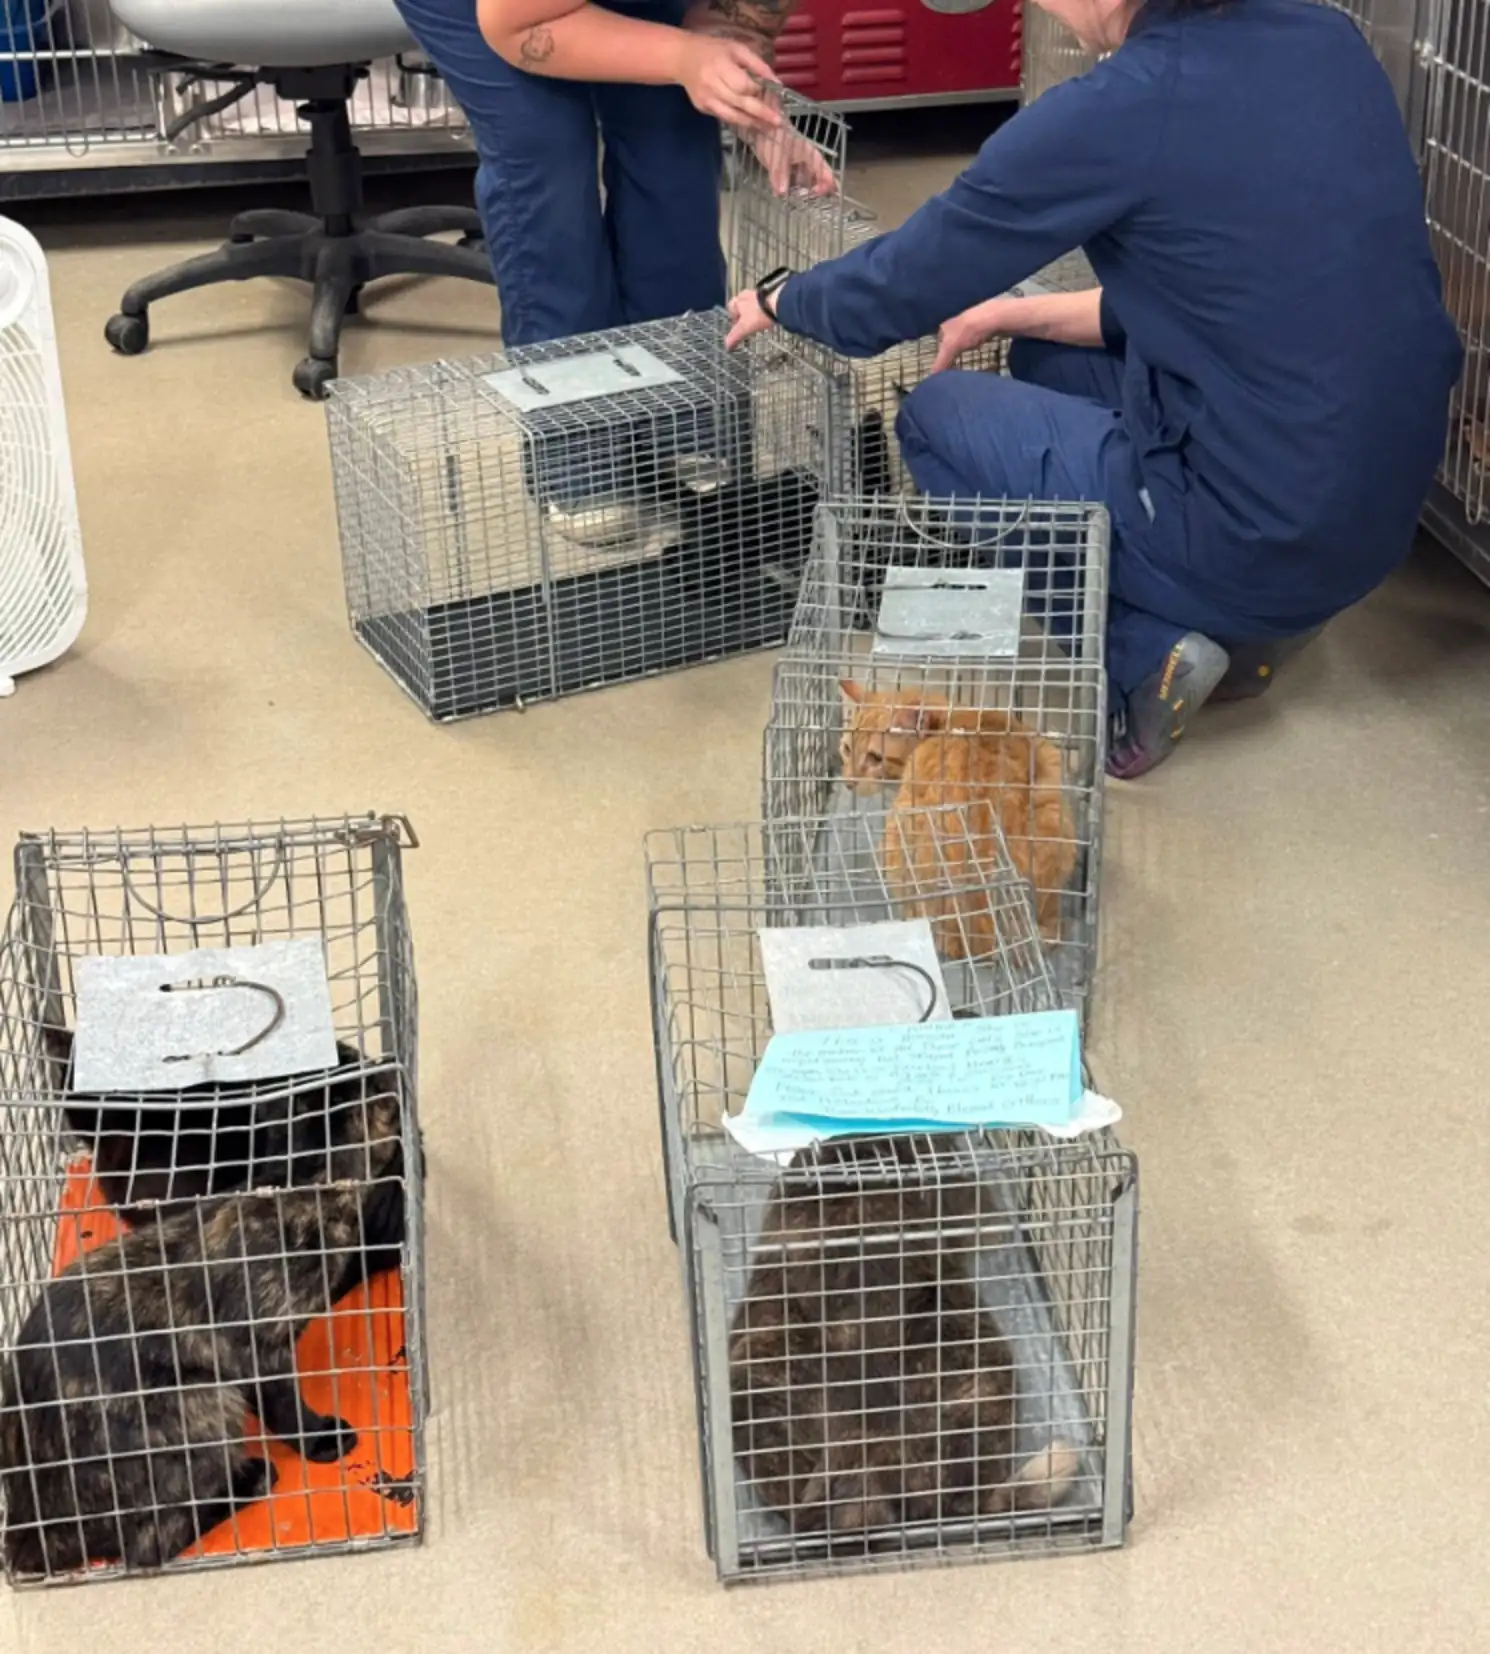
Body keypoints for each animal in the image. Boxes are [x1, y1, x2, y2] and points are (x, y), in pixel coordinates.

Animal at [0, 1082, 410, 1577]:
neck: (294, 1181)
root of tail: (28, 1528)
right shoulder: (258, 1349)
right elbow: (285, 1405)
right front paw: (320, 1440)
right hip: (202, 1398)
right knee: (150, 1545)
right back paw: (249, 1479)